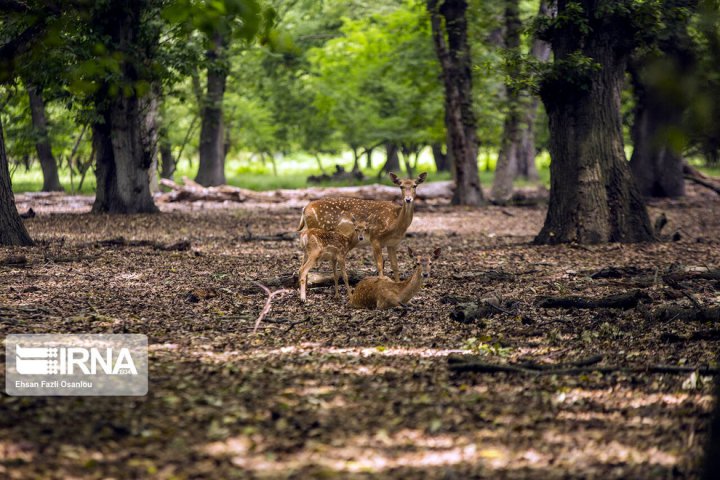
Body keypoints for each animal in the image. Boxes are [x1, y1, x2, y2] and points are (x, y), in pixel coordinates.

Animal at [296, 172, 424, 282]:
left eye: (415, 185)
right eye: (401, 186)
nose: (408, 199)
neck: (395, 222)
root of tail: (304, 208)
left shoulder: (393, 243)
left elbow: (395, 266)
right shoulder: (375, 238)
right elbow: (380, 266)